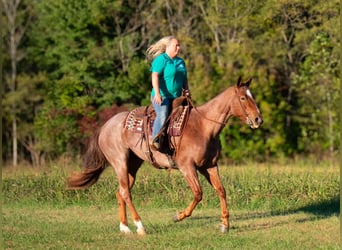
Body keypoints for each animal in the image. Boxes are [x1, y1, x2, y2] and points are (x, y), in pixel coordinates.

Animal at [68, 76, 264, 234]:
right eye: (243, 97)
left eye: (253, 96)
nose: (258, 120)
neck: (203, 127)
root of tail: (105, 126)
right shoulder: (187, 167)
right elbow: (198, 193)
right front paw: (178, 216)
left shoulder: (209, 165)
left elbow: (221, 190)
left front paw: (224, 225)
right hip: (120, 163)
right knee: (125, 193)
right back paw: (140, 226)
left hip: (132, 164)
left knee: (120, 192)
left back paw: (124, 227)